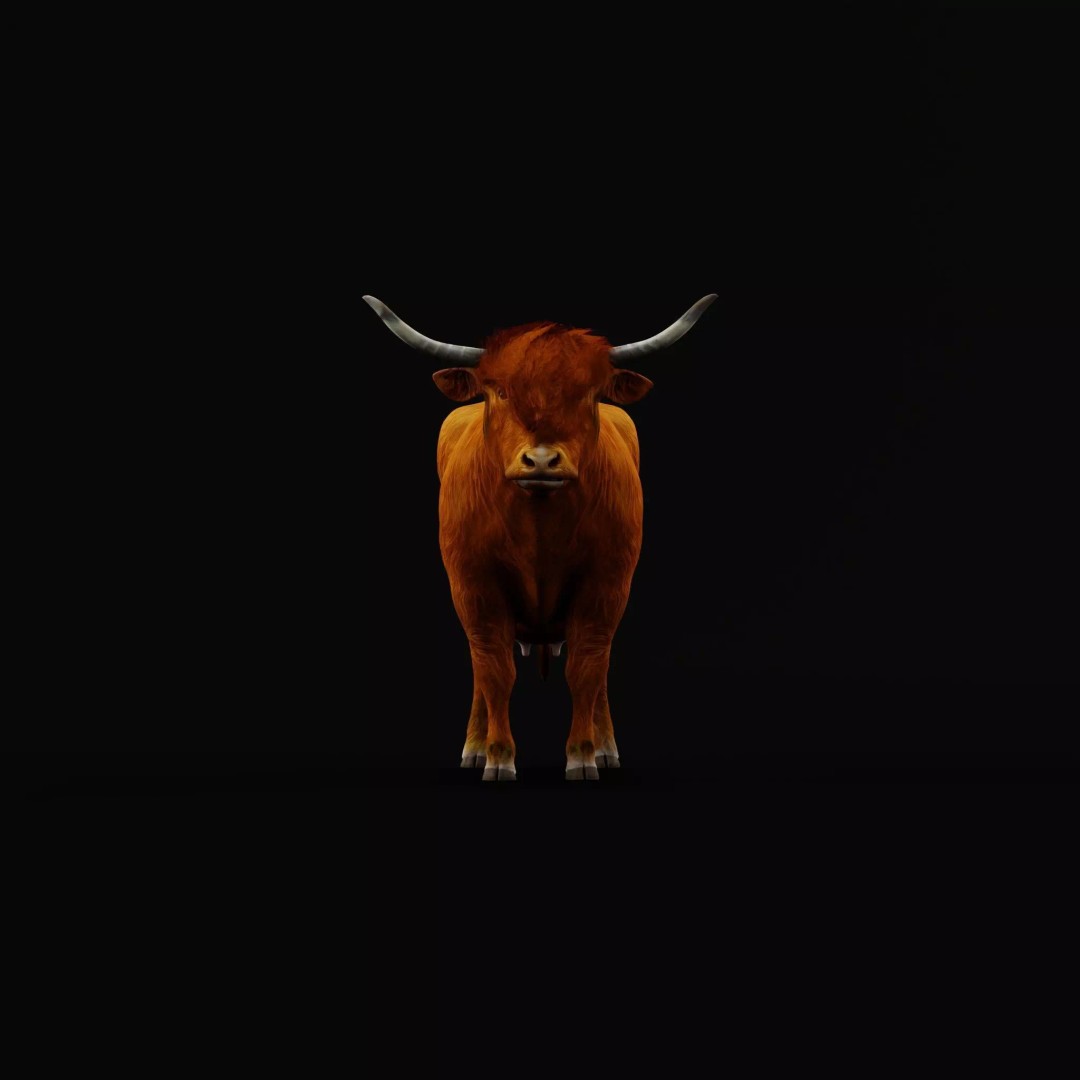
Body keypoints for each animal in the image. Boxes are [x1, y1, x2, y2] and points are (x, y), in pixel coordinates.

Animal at [364, 294, 717, 780]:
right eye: (499, 391)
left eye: (589, 394)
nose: (543, 461)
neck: (539, 525)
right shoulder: (473, 587)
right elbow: (494, 669)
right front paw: (498, 756)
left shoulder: (607, 585)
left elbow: (587, 667)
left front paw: (583, 755)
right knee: (480, 668)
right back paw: (474, 747)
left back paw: (606, 747)